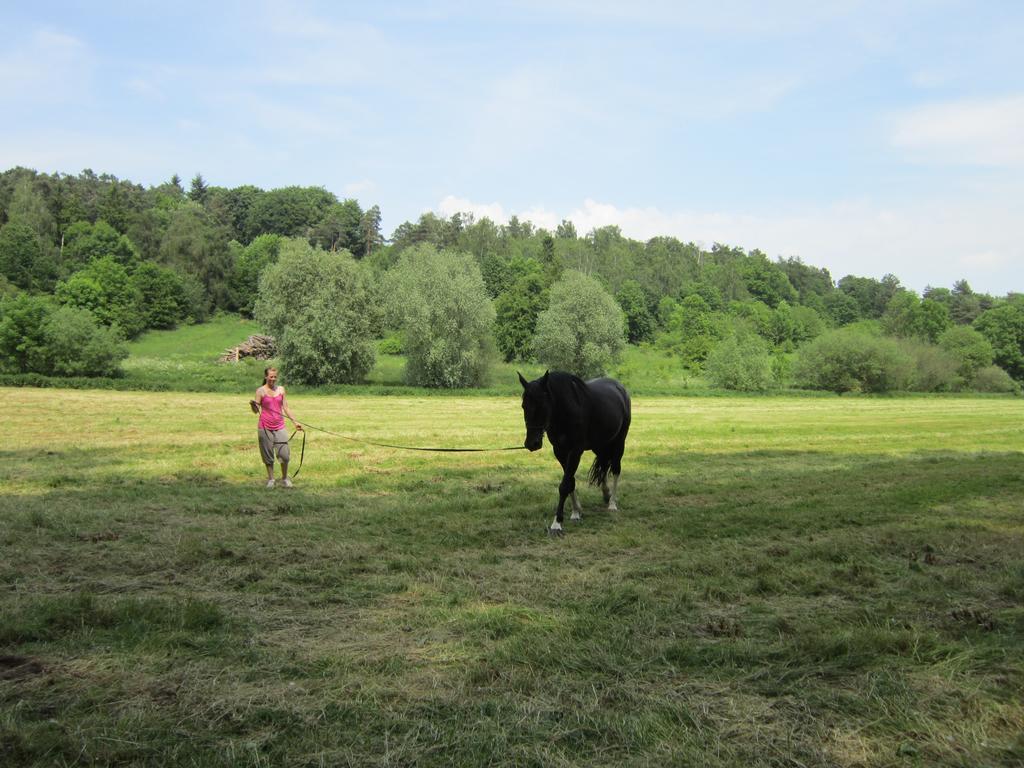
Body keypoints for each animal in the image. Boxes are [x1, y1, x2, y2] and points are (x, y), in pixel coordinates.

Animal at [520, 370, 630, 536]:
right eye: (523, 406)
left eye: (542, 405)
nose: (532, 443)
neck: (565, 411)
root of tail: (620, 388)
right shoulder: (560, 451)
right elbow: (570, 481)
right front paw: (576, 512)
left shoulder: (575, 451)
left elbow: (565, 484)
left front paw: (557, 523)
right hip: (599, 444)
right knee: (604, 466)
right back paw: (606, 494)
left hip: (619, 442)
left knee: (616, 469)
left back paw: (612, 503)